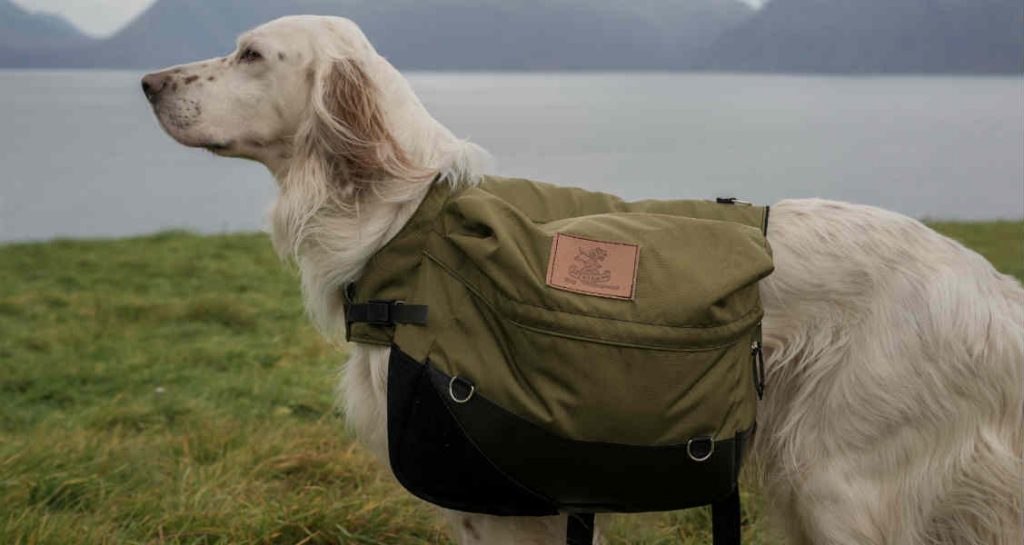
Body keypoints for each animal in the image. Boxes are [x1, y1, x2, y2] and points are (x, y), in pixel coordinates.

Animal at [144, 14, 1024, 540]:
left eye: (251, 55)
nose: (149, 83)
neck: (405, 221)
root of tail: (987, 286)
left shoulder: (504, 504)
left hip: (842, 482)